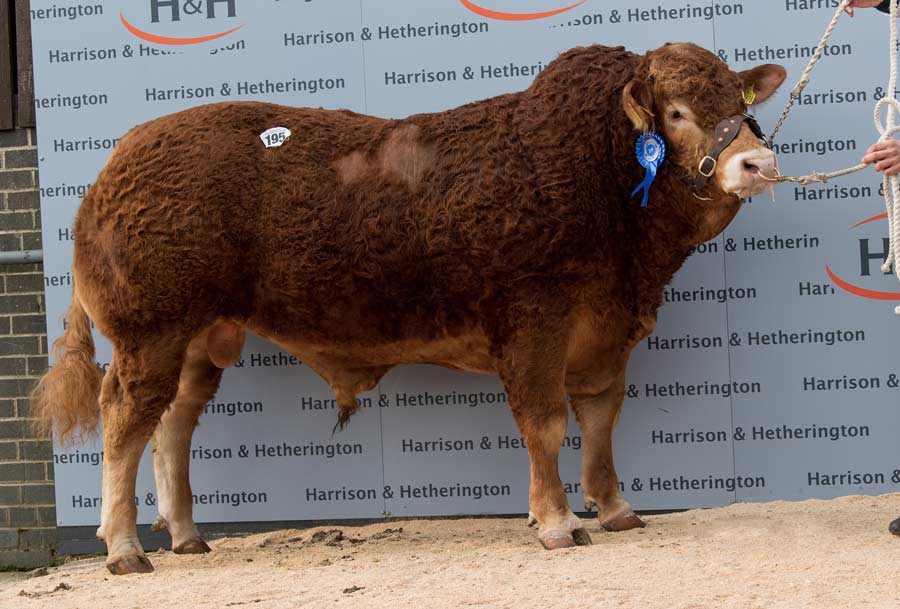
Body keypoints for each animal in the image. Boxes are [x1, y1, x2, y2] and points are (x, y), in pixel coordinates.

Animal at [31, 42, 784, 576]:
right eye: (676, 112)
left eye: (739, 101)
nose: (759, 163)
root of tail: (114, 165)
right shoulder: (533, 321)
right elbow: (544, 424)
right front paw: (557, 522)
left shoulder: (606, 332)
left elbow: (600, 421)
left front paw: (617, 508)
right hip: (150, 329)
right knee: (124, 419)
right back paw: (124, 547)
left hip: (198, 337)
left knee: (172, 424)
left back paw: (187, 535)